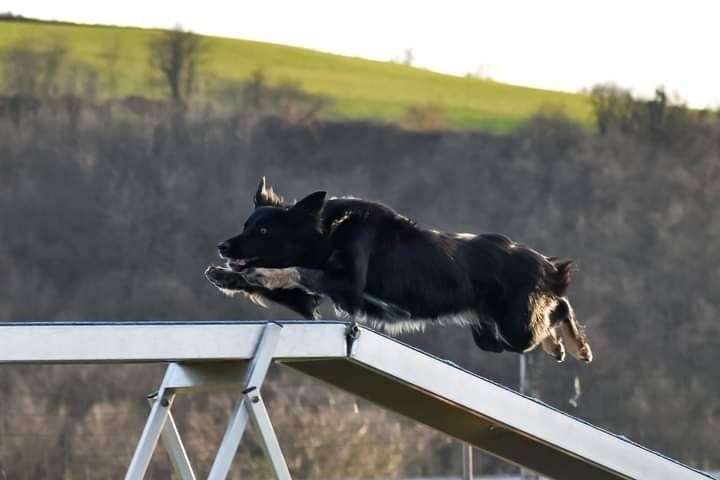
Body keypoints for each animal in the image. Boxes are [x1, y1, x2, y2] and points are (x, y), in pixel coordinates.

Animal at [205, 178, 592, 362]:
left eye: (262, 231)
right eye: (246, 225)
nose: (222, 246)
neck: (328, 230)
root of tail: (545, 264)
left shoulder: (348, 284)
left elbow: (297, 271)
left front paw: (261, 274)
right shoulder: (315, 297)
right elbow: (286, 283)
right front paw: (227, 275)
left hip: (517, 327)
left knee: (559, 307)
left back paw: (575, 345)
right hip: (488, 334)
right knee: (542, 321)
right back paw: (559, 346)